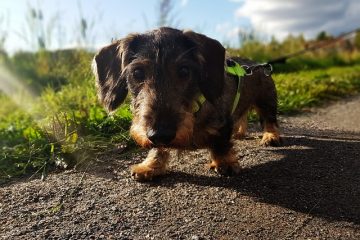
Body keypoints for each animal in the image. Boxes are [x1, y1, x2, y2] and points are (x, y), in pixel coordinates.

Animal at [90, 27, 282, 181]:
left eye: (184, 70)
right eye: (137, 73)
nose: (160, 134)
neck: (194, 112)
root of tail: (257, 65)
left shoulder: (223, 122)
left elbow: (221, 143)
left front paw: (224, 162)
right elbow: (157, 149)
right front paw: (150, 165)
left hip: (267, 101)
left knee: (269, 120)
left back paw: (270, 136)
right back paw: (240, 132)